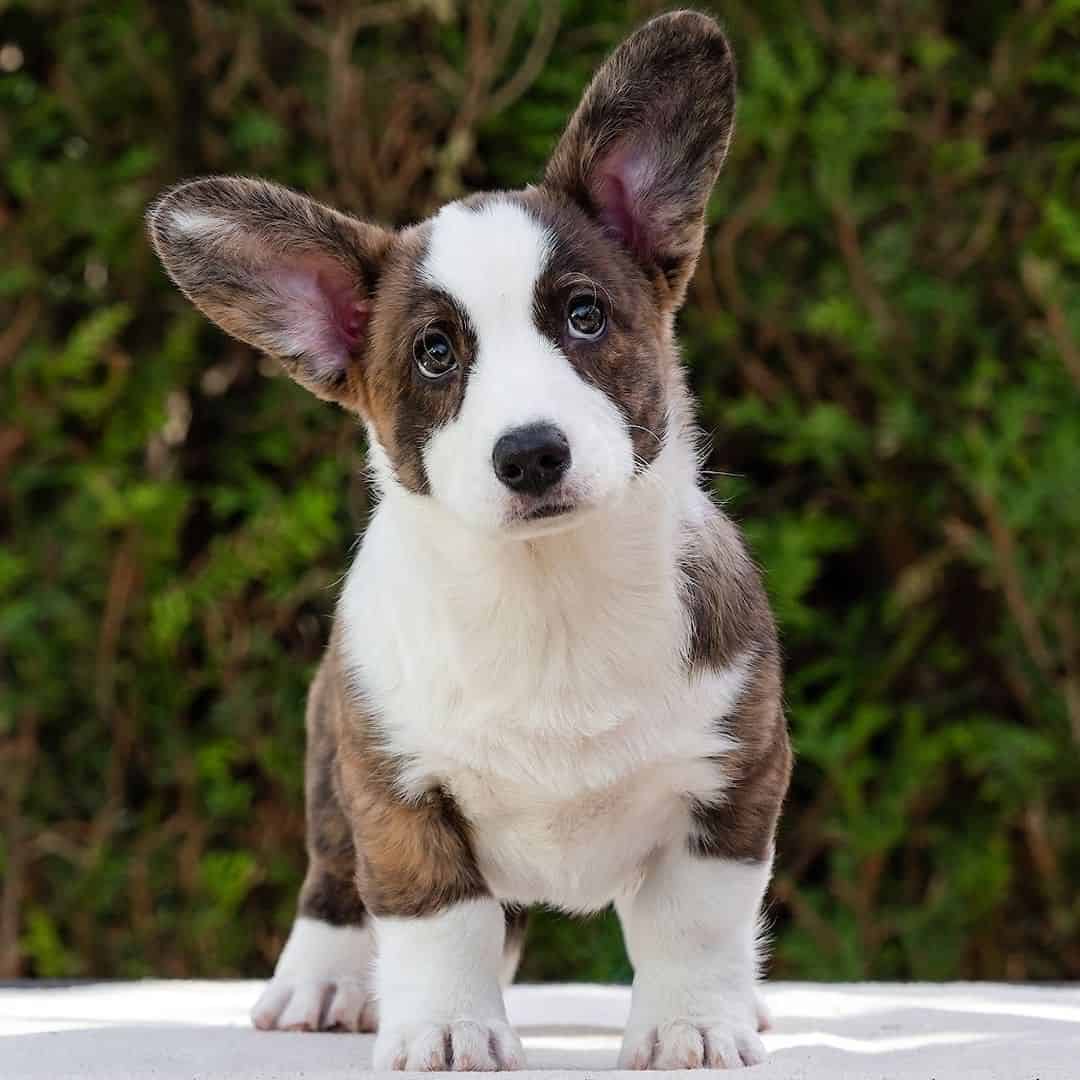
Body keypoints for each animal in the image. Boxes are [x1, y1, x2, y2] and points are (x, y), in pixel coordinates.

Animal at [147, 10, 794, 1071]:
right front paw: (448, 1030)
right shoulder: (399, 793)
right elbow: (438, 921)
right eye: (436, 354)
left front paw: (695, 1025)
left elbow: (695, 921)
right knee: (336, 882)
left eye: (584, 316)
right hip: (331, 756)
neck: (547, 593)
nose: (530, 454)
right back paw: (325, 984)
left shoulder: (731, 779)